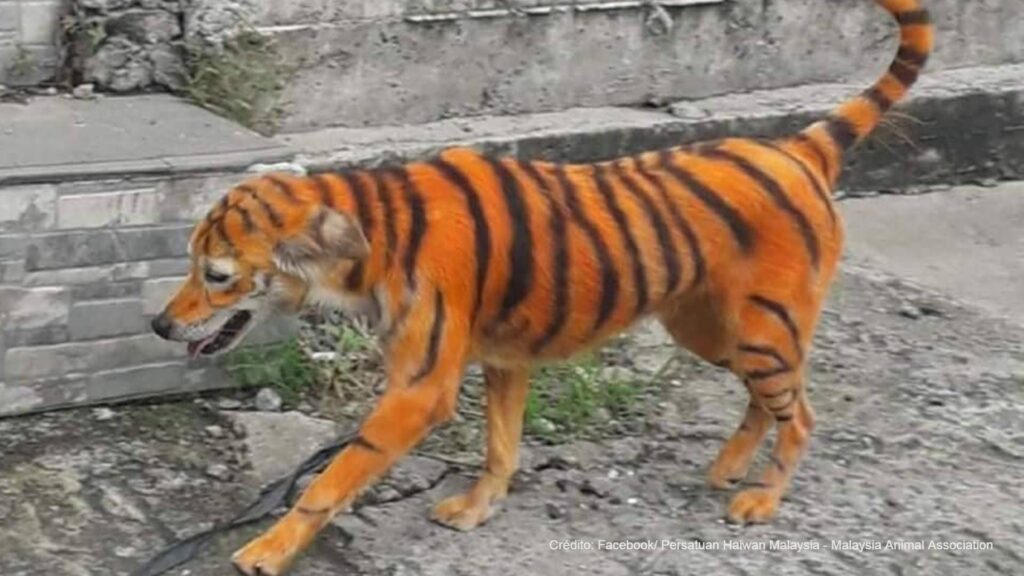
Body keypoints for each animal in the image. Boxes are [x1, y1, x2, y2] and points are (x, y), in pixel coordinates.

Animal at [150, 1, 934, 573]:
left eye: (216, 276)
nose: (160, 325)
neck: (369, 235)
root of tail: (798, 145)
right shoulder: (504, 360)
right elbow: (502, 446)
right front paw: (475, 511)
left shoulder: (422, 387)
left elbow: (331, 479)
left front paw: (265, 550)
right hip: (711, 327)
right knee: (765, 401)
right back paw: (728, 469)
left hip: (763, 329)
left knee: (800, 414)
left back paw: (761, 500)